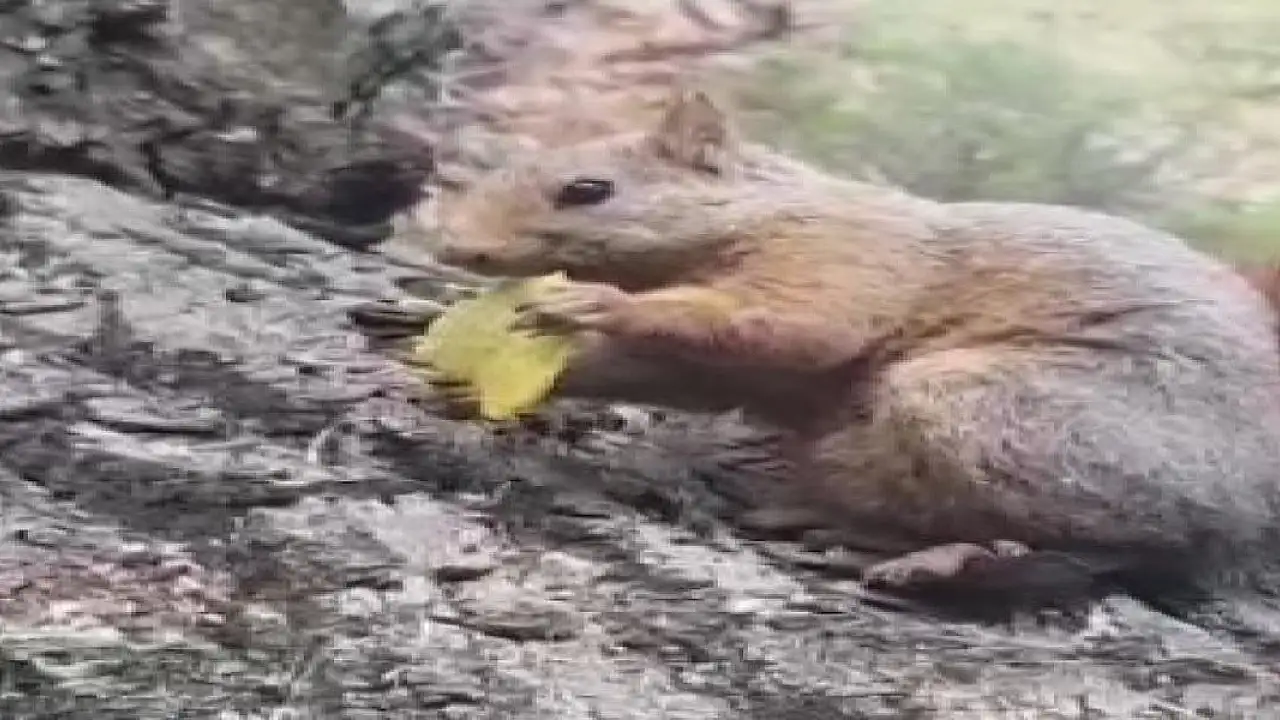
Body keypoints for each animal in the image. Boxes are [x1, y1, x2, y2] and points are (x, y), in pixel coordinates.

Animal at [424, 87, 1280, 616]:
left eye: (588, 189)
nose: (454, 247)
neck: (765, 208)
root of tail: (1250, 515)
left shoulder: (841, 258)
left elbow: (796, 323)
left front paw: (598, 304)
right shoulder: (718, 364)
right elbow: (673, 370)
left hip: (1008, 415)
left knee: (1115, 546)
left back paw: (916, 553)